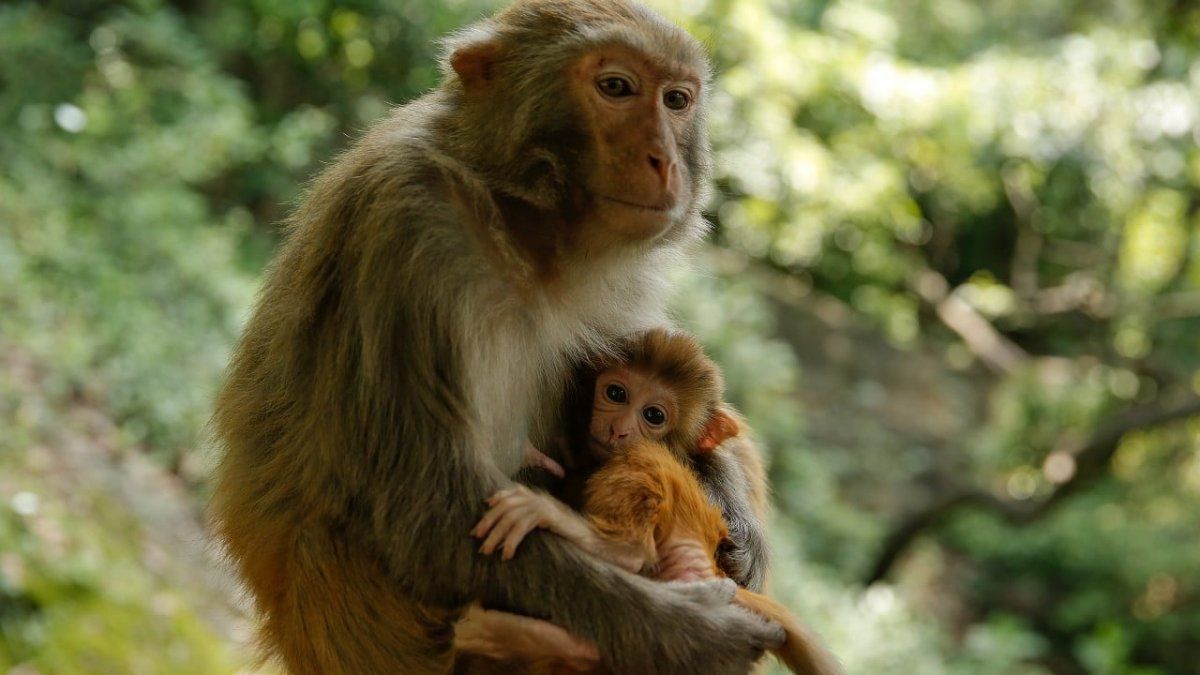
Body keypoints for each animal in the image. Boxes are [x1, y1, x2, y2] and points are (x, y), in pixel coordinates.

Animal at [208, 1, 783, 673]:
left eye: (677, 100)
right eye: (616, 87)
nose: (663, 160)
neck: (523, 226)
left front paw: (726, 495)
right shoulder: (409, 227)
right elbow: (429, 513)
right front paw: (693, 633)